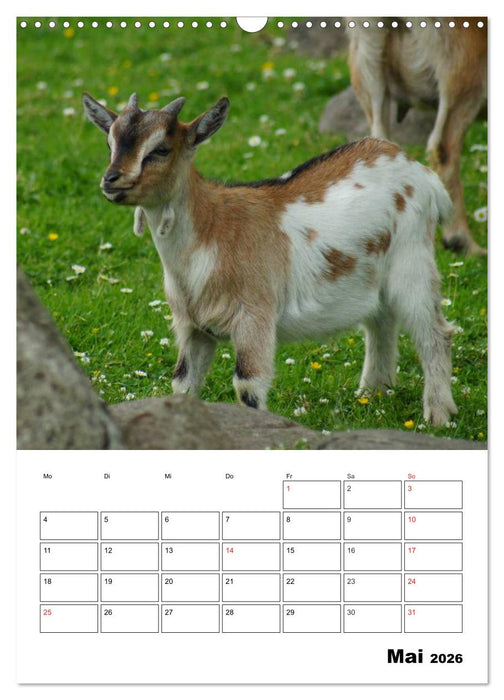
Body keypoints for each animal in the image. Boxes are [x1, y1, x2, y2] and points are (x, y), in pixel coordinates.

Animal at [82, 91, 457, 426]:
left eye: (161, 149)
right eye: (110, 143)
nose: (111, 180)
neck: (212, 229)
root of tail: (420, 172)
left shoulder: (254, 316)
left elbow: (248, 384)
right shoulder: (193, 327)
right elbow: (183, 382)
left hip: (413, 259)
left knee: (434, 333)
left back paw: (438, 416)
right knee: (380, 321)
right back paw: (372, 393)